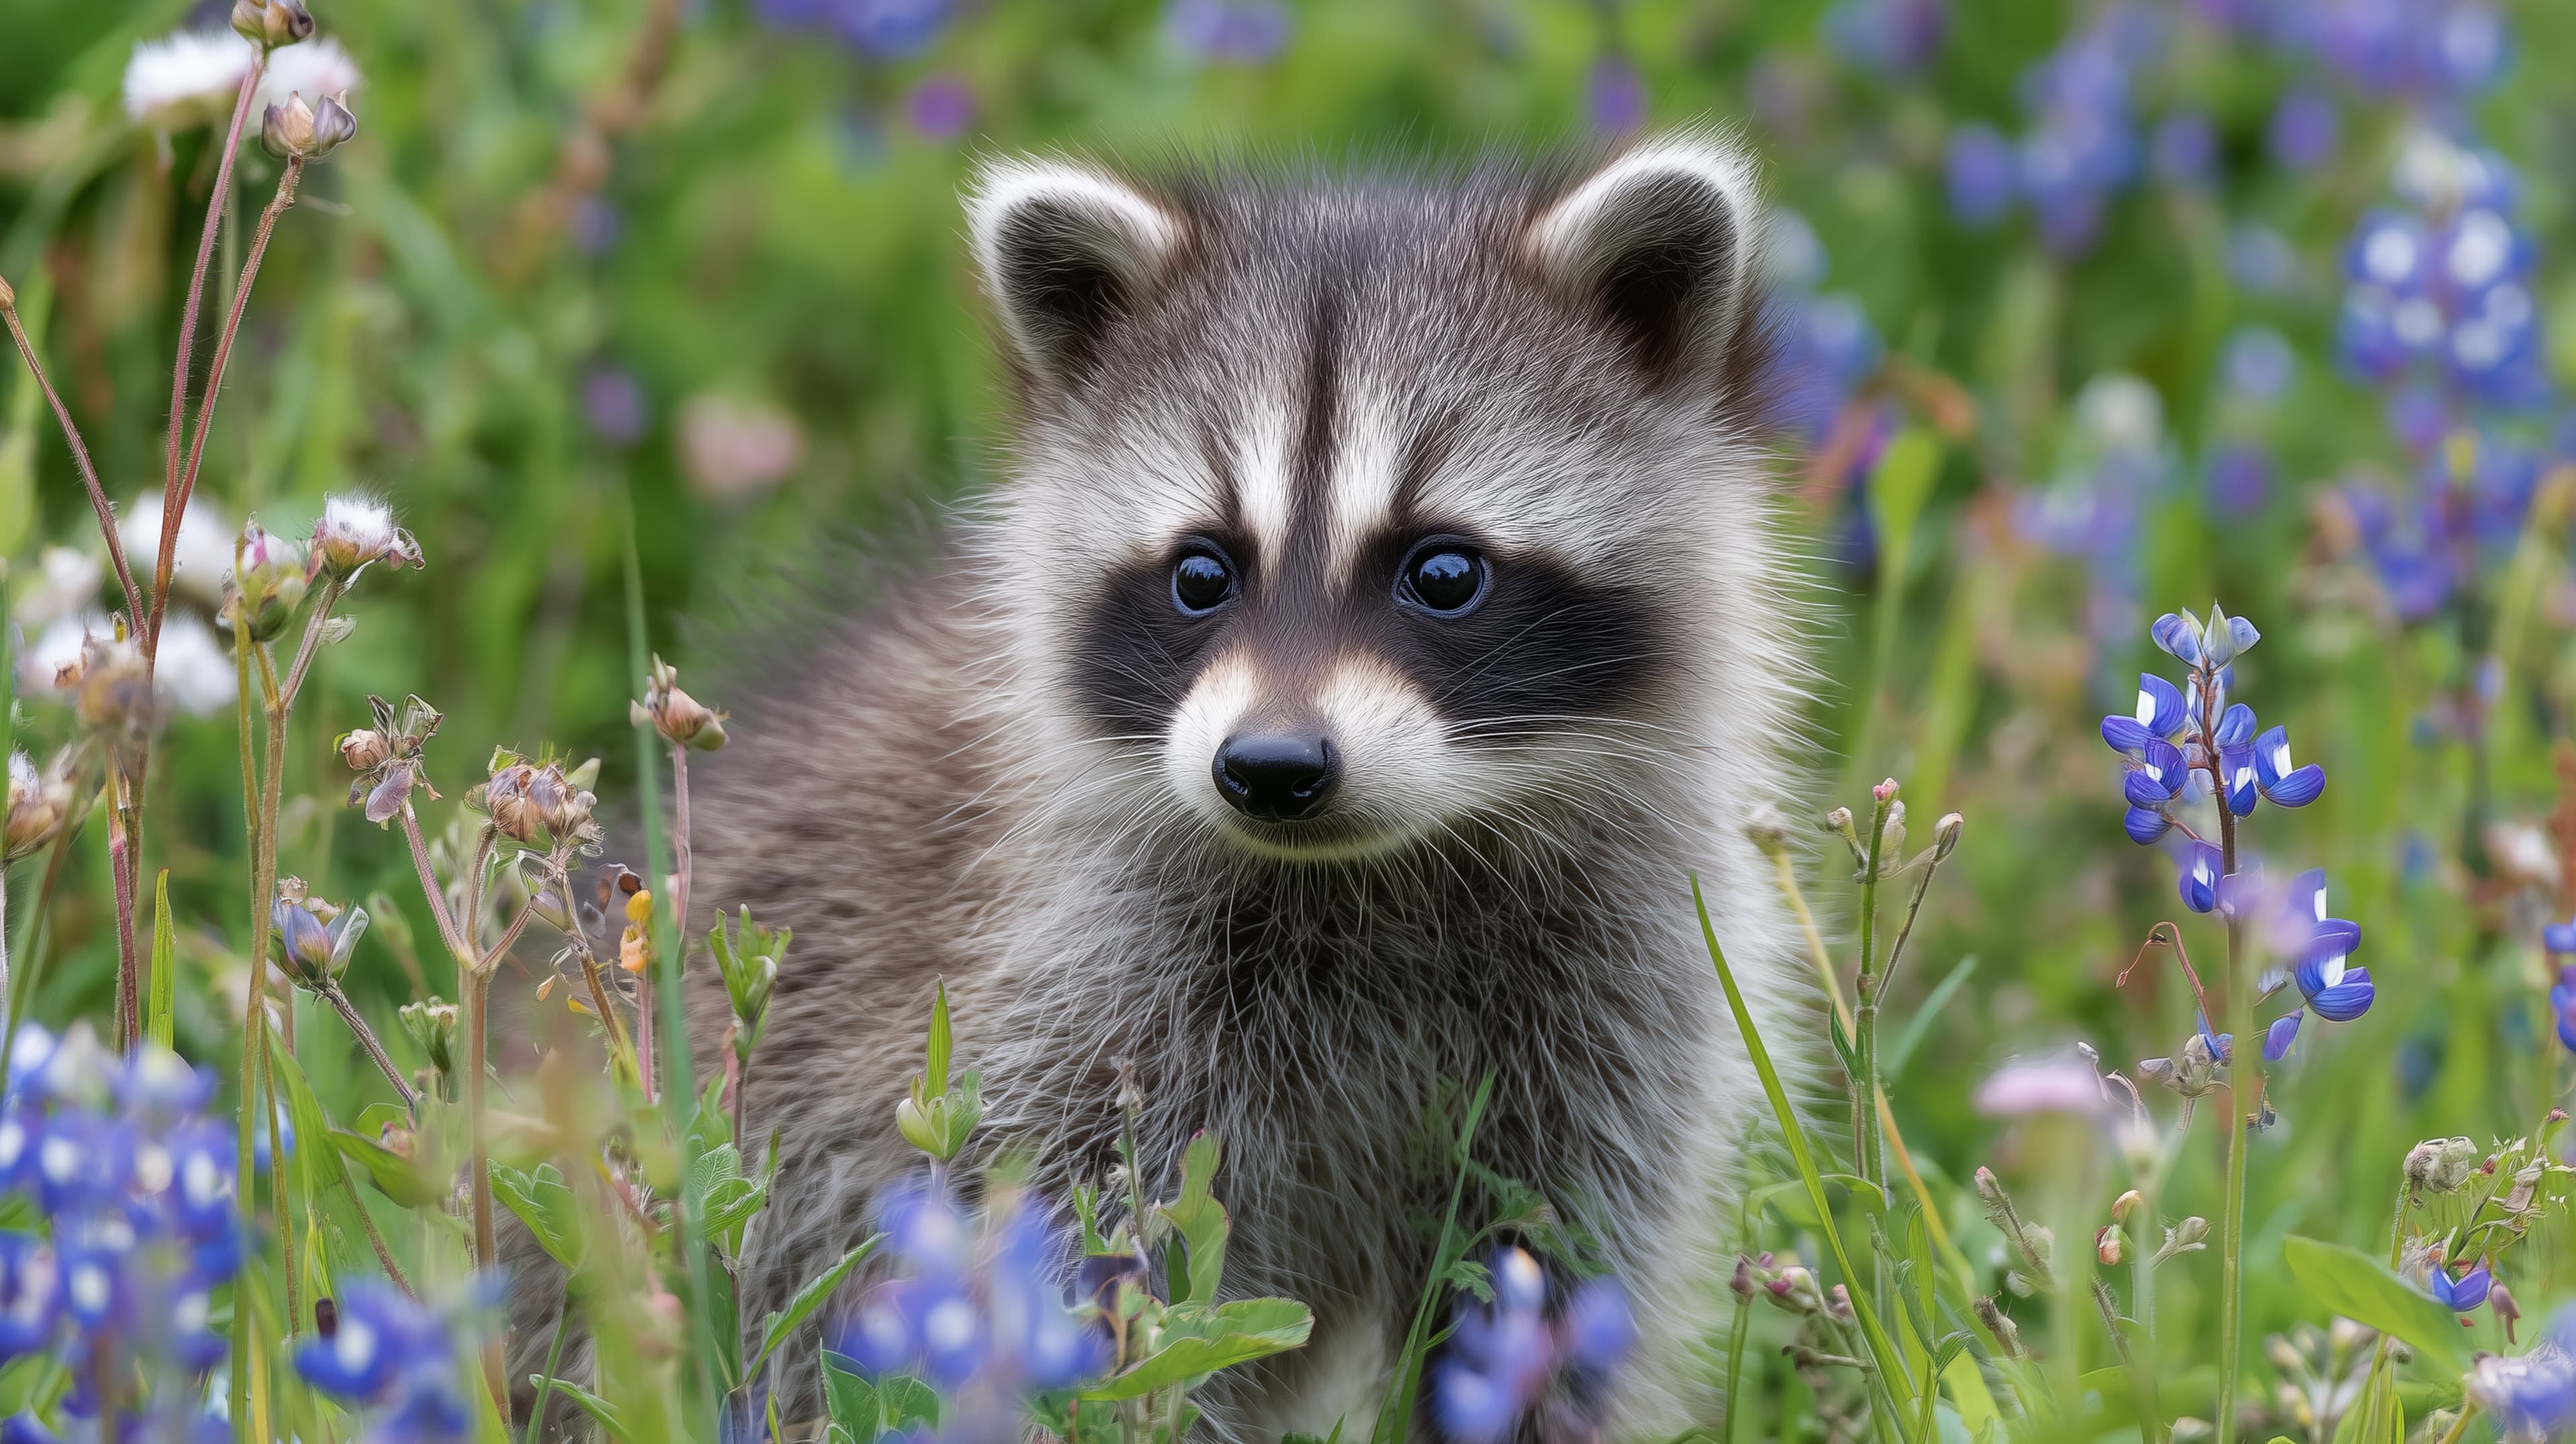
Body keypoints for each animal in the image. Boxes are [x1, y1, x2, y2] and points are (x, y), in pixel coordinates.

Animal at [524, 131, 1814, 1439]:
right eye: (1202, 572)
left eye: (1444, 572)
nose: (1272, 769)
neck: (1372, 872)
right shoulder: (1074, 1006)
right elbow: (1102, 1288)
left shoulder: (1613, 1022)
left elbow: (1540, 1297)